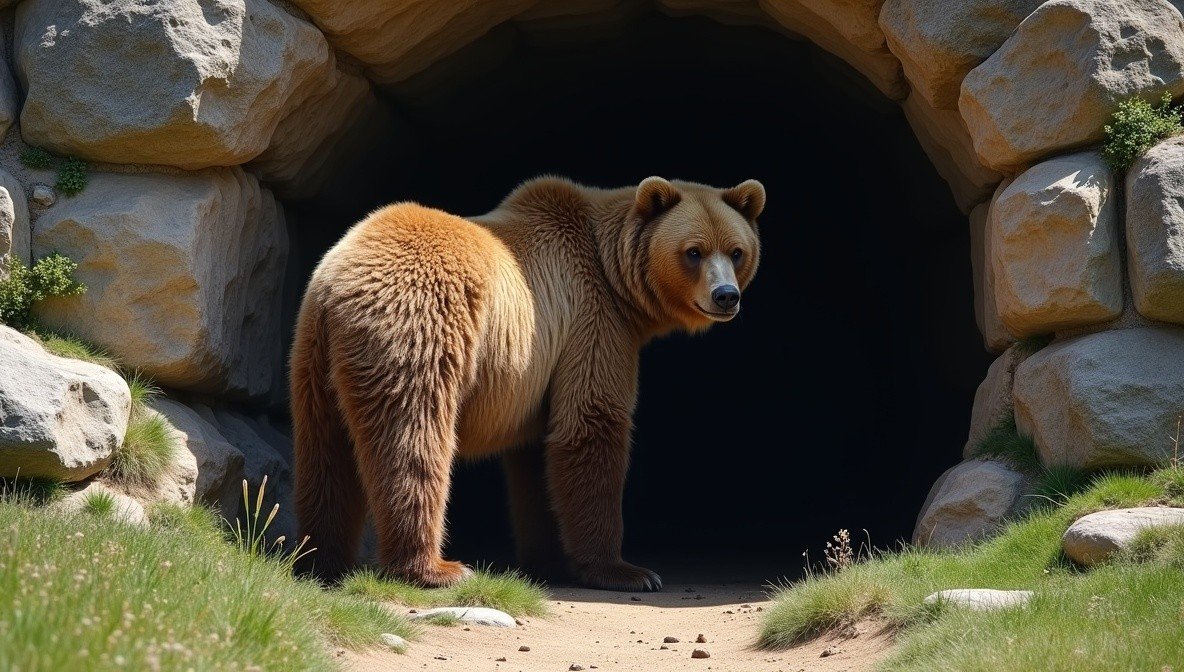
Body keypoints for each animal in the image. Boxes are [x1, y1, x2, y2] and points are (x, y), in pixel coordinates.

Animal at [291, 175, 764, 591]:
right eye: (694, 251)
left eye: (736, 251)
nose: (726, 296)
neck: (614, 275)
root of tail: (337, 288)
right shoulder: (591, 321)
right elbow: (591, 425)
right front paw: (626, 571)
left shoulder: (538, 371)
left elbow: (536, 460)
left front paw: (549, 561)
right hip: (417, 327)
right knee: (412, 440)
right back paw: (436, 569)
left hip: (313, 356)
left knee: (324, 450)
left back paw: (320, 560)